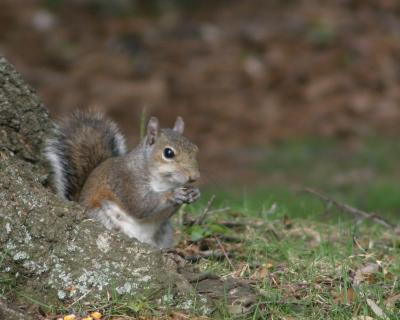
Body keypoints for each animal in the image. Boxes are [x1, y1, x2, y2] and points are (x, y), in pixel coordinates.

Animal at [45, 111, 200, 249]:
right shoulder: (126, 181)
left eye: (195, 149)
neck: (164, 182)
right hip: (102, 216)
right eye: (168, 153)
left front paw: (194, 193)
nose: (195, 176)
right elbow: (140, 205)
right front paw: (173, 194)